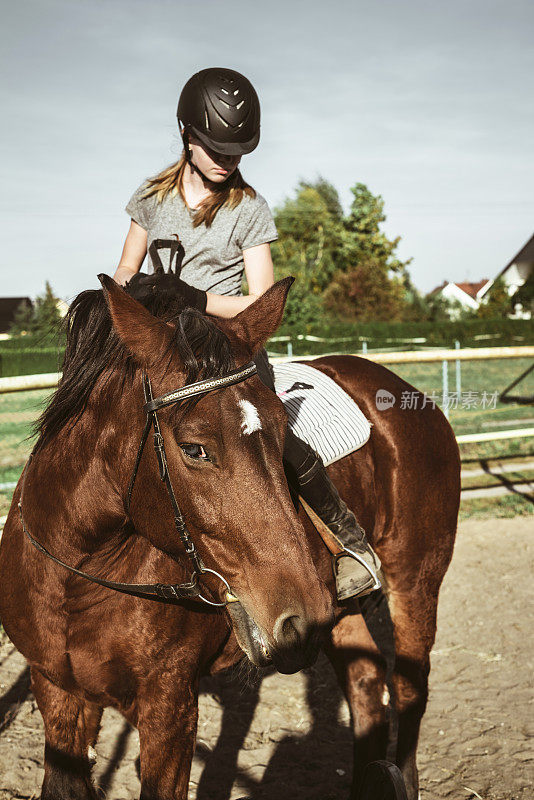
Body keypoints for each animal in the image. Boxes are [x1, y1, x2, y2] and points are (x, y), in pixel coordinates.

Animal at [0, 276, 460, 800]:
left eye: (284, 432)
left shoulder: (169, 706)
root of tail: (403, 392)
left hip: (415, 579)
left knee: (408, 687)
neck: (77, 580)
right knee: (367, 684)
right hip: (340, 614)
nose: (298, 613)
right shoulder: (57, 691)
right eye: (194, 448)